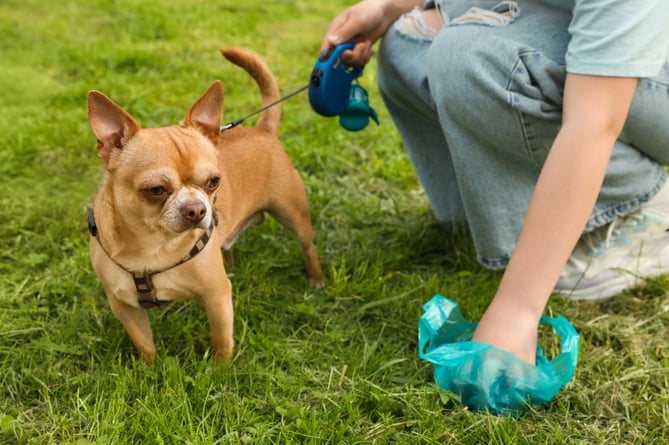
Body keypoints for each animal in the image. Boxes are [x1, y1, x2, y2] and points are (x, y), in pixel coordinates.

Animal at [87, 47, 326, 360]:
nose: (197, 209)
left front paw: (220, 368)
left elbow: (221, 339)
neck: (152, 248)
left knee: (307, 246)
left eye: (213, 181)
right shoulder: (124, 306)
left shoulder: (217, 297)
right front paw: (149, 367)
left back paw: (316, 278)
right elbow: (145, 343)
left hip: (293, 215)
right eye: (155, 190)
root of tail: (263, 130)